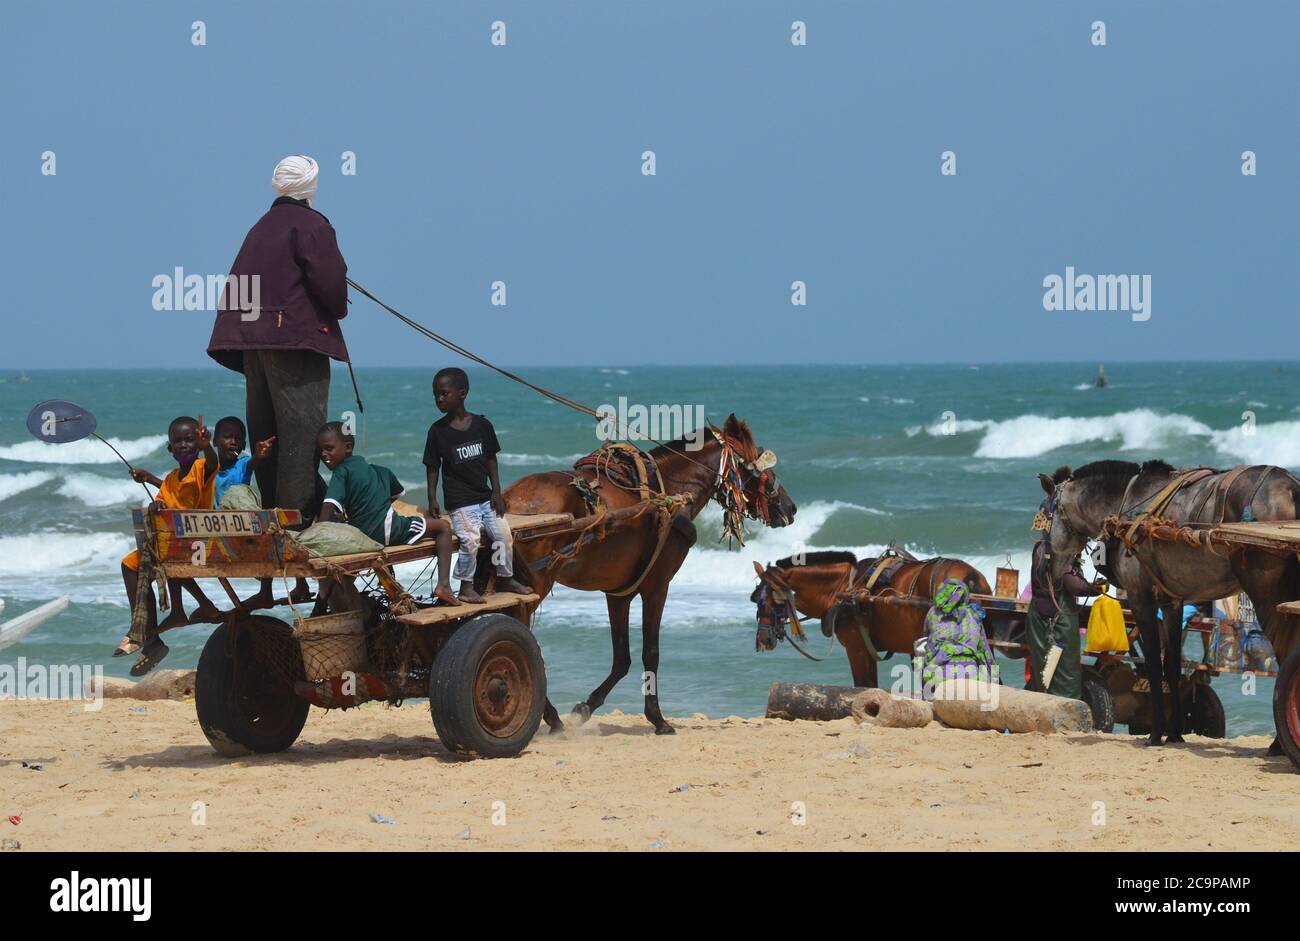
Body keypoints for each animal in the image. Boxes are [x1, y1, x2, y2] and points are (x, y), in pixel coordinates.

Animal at [504, 415, 790, 733]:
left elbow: (622, 658)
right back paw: (546, 712)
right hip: (536, 584)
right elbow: (650, 652)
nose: (790, 507)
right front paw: (657, 718)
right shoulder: (657, 586)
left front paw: (586, 708)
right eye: (757, 465)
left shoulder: (619, 592)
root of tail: (509, 501)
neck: (667, 493)